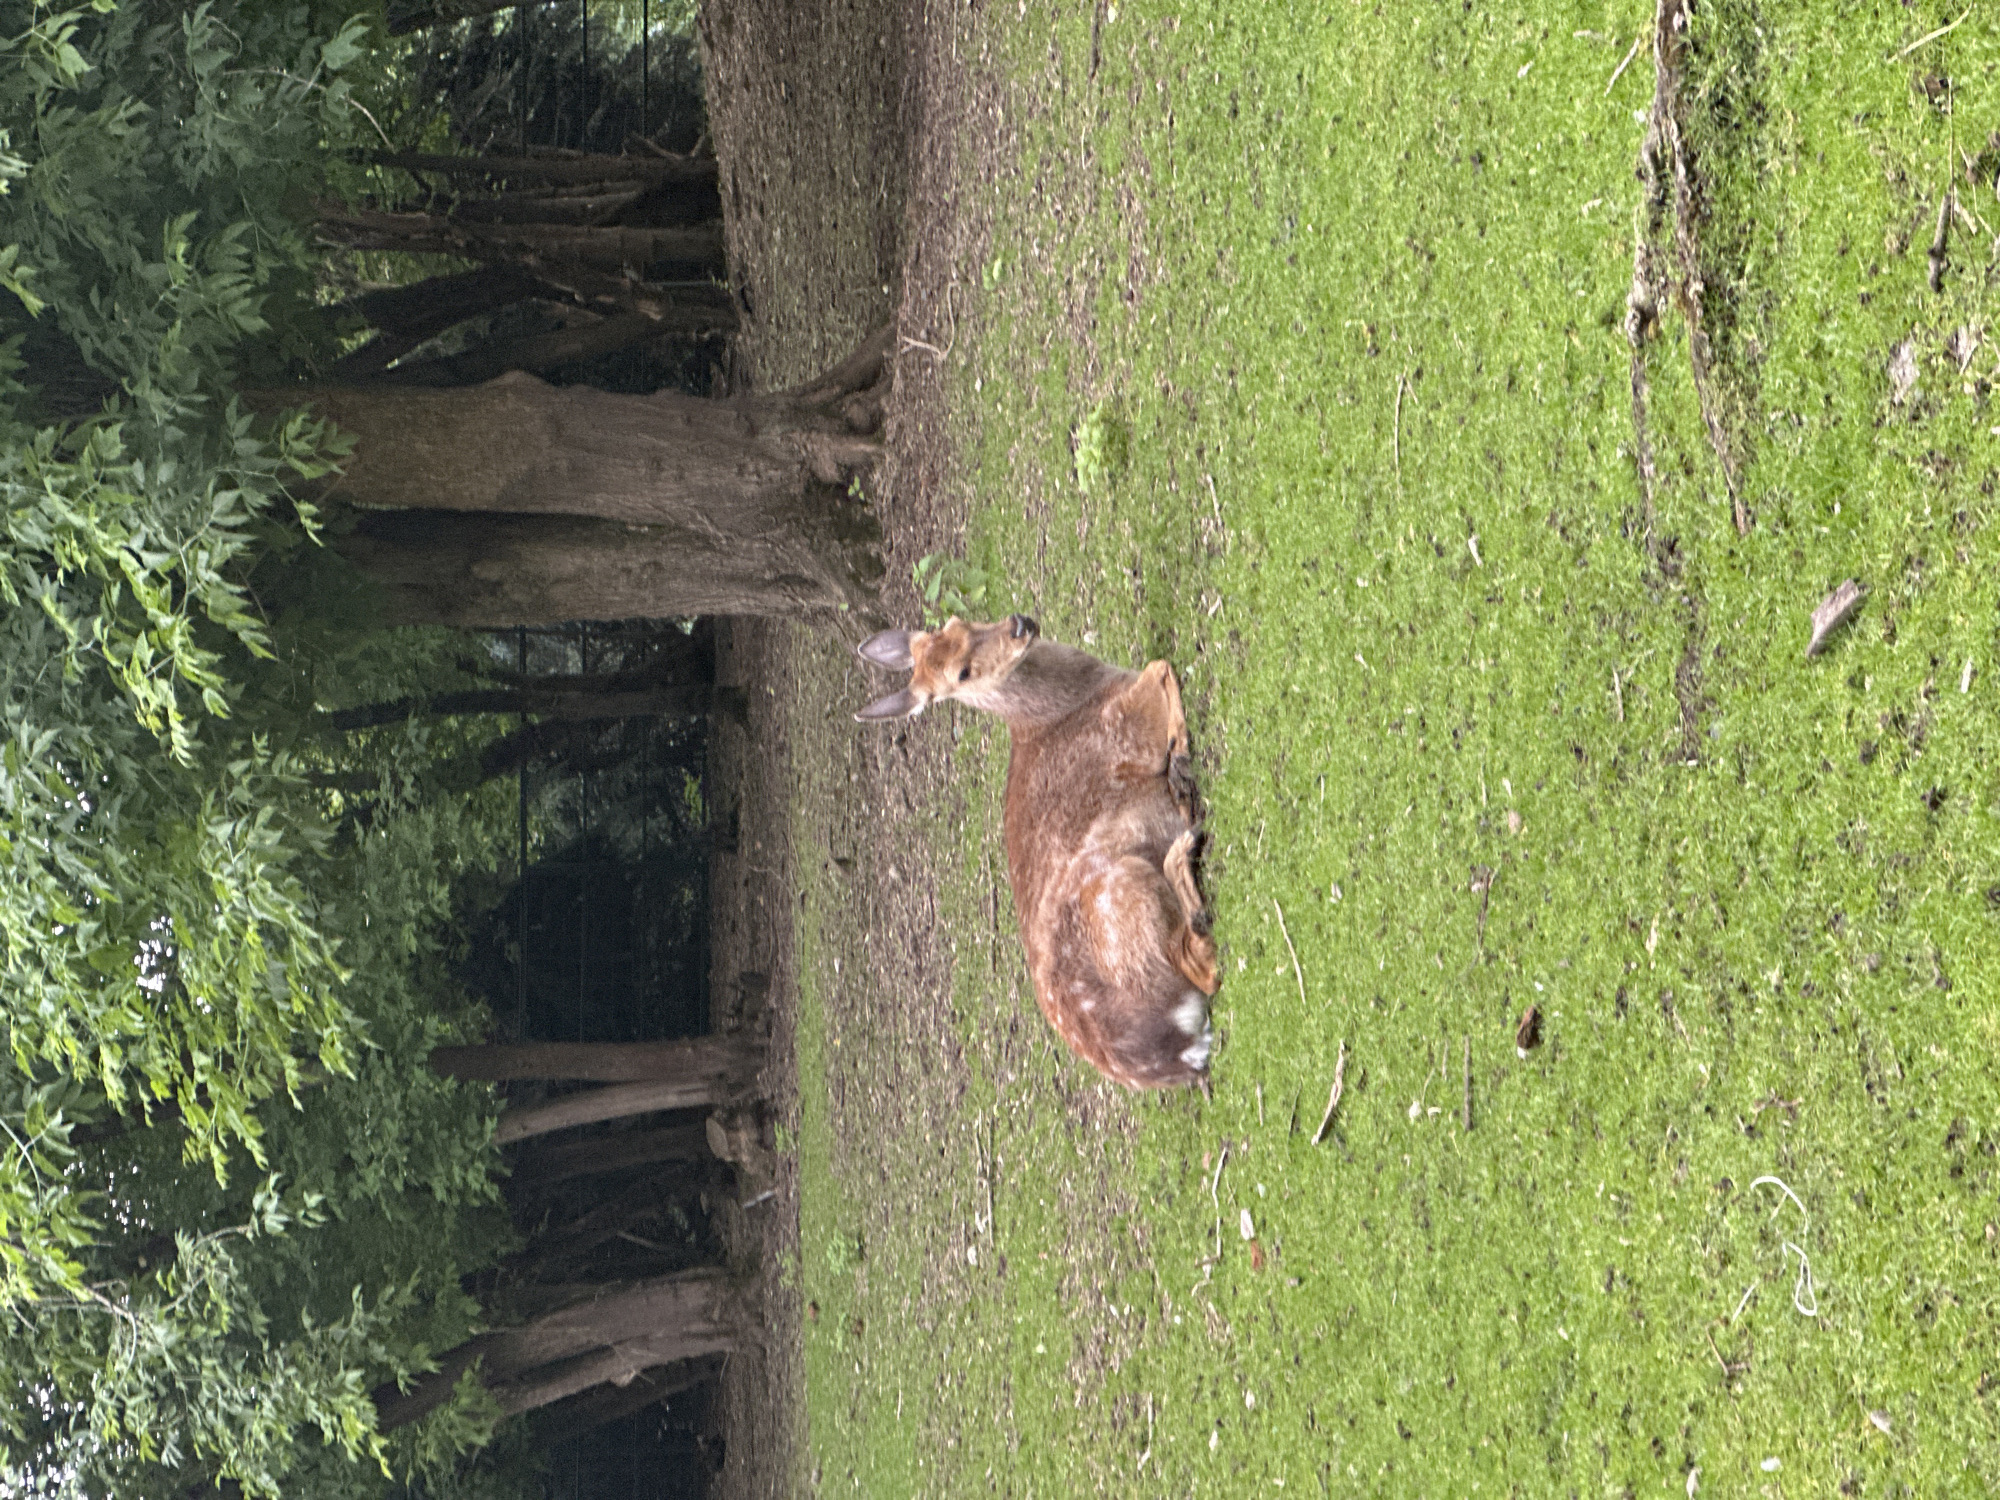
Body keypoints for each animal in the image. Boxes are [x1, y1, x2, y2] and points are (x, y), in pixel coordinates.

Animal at [853, 615, 1220, 1089]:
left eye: (958, 622)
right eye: (962, 674)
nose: (1019, 624)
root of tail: (1179, 1057)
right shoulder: (1128, 728)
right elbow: (1161, 666)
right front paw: (1179, 755)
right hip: (1117, 889)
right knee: (1200, 964)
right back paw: (1186, 827)